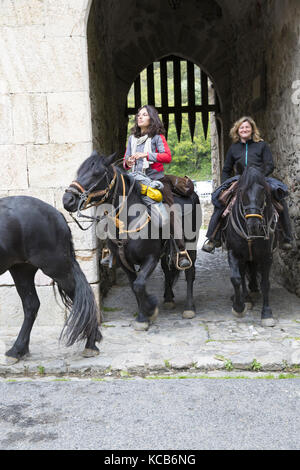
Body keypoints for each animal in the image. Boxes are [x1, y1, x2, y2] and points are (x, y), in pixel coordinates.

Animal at [0, 195, 102, 364]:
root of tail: (57, 214)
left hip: (56, 269)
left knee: (83, 299)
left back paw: (91, 344)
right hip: (22, 269)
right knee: (31, 305)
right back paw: (18, 350)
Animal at [62, 152, 200, 328]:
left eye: (97, 173)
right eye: (79, 172)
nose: (67, 200)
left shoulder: (151, 258)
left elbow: (139, 285)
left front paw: (149, 310)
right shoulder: (123, 261)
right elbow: (135, 287)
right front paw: (143, 315)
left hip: (191, 245)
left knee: (189, 273)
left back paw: (189, 308)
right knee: (167, 270)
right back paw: (168, 299)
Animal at [223, 166, 278, 326]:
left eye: (263, 192)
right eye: (242, 192)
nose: (253, 225)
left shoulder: (267, 256)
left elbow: (265, 283)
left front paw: (267, 314)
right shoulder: (233, 252)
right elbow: (235, 278)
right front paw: (238, 307)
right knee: (242, 274)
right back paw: (246, 298)